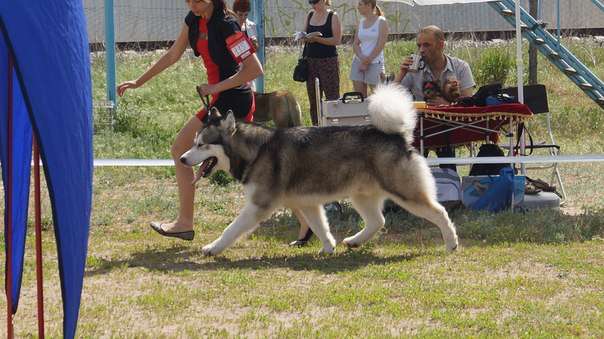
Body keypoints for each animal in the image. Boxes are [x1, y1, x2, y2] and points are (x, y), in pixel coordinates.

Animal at [183, 84, 458, 255]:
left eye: (201, 144)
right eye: (194, 143)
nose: (183, 159)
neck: (256, 150)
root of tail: (397, 135)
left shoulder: (258, 205)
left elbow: (231, 229)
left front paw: (212, 248)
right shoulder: (308, 203)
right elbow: (320, 227)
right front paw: (328, 247)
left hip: (405, 192)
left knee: (440, 212)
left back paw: (451, 244)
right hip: (361, 195)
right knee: (377, 221)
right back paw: (354, 241)